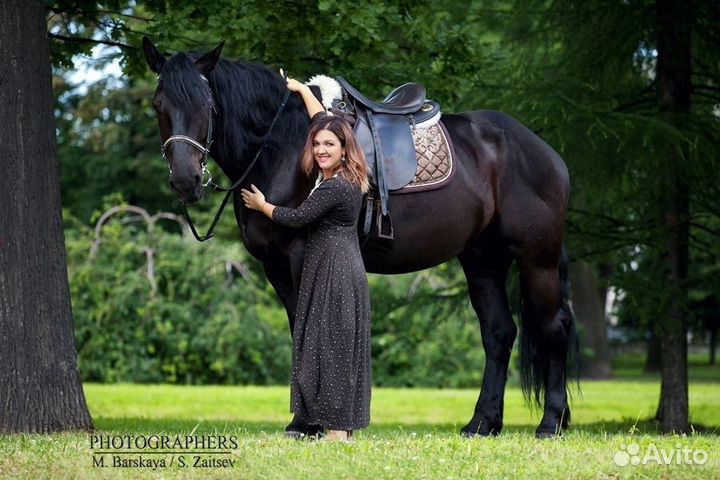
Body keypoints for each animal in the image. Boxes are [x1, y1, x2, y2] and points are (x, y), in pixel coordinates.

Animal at [142, 37, 579, 438]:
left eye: (206, 106)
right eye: (158, 106)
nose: (185, 181)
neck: (280, 147)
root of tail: (544, 151)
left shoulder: (299, 256)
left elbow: (305, 329)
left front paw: (308, 423)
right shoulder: (274, 267)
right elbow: (296, 330)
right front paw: (305, 421)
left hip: (537, 258)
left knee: (553, 328)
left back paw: (550, 423)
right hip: (483, 261)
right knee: (499, 334)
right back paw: (482, 423)